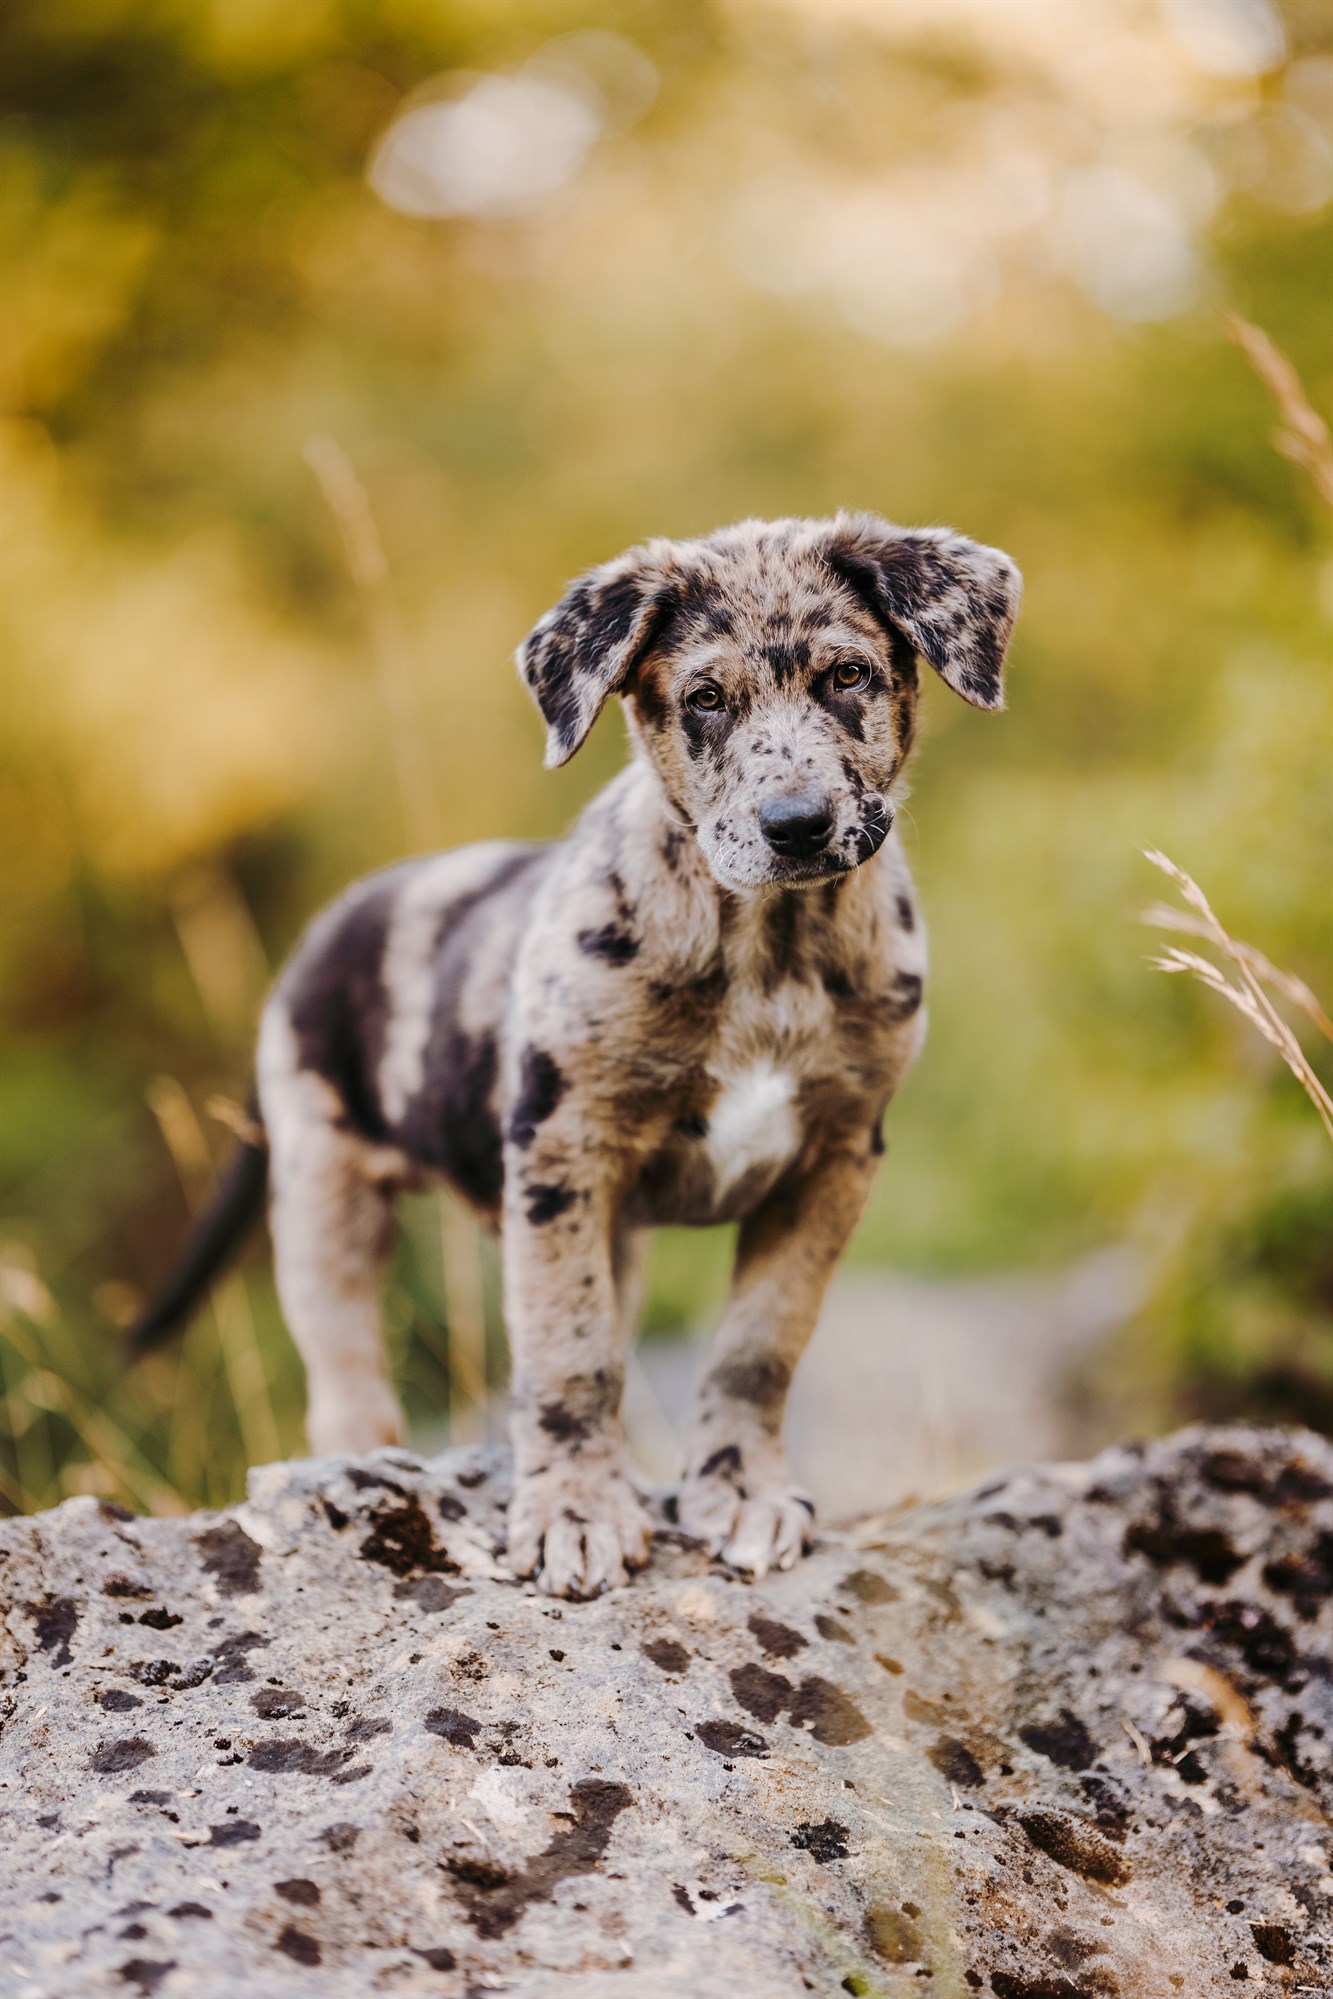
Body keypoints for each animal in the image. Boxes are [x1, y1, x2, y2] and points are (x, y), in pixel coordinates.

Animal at [135, 519, 1023, 1607]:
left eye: (847, 674)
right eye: (704, 697)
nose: (796, 825)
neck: (765, 951)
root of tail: (329, 923)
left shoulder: (836, 1159)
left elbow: (757, 1345)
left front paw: (741, 1494)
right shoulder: (563, 1153)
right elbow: (570, 1355)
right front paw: (574, 1516)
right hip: (320, 1188)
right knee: (343, 1368)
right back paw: (364, 1466)